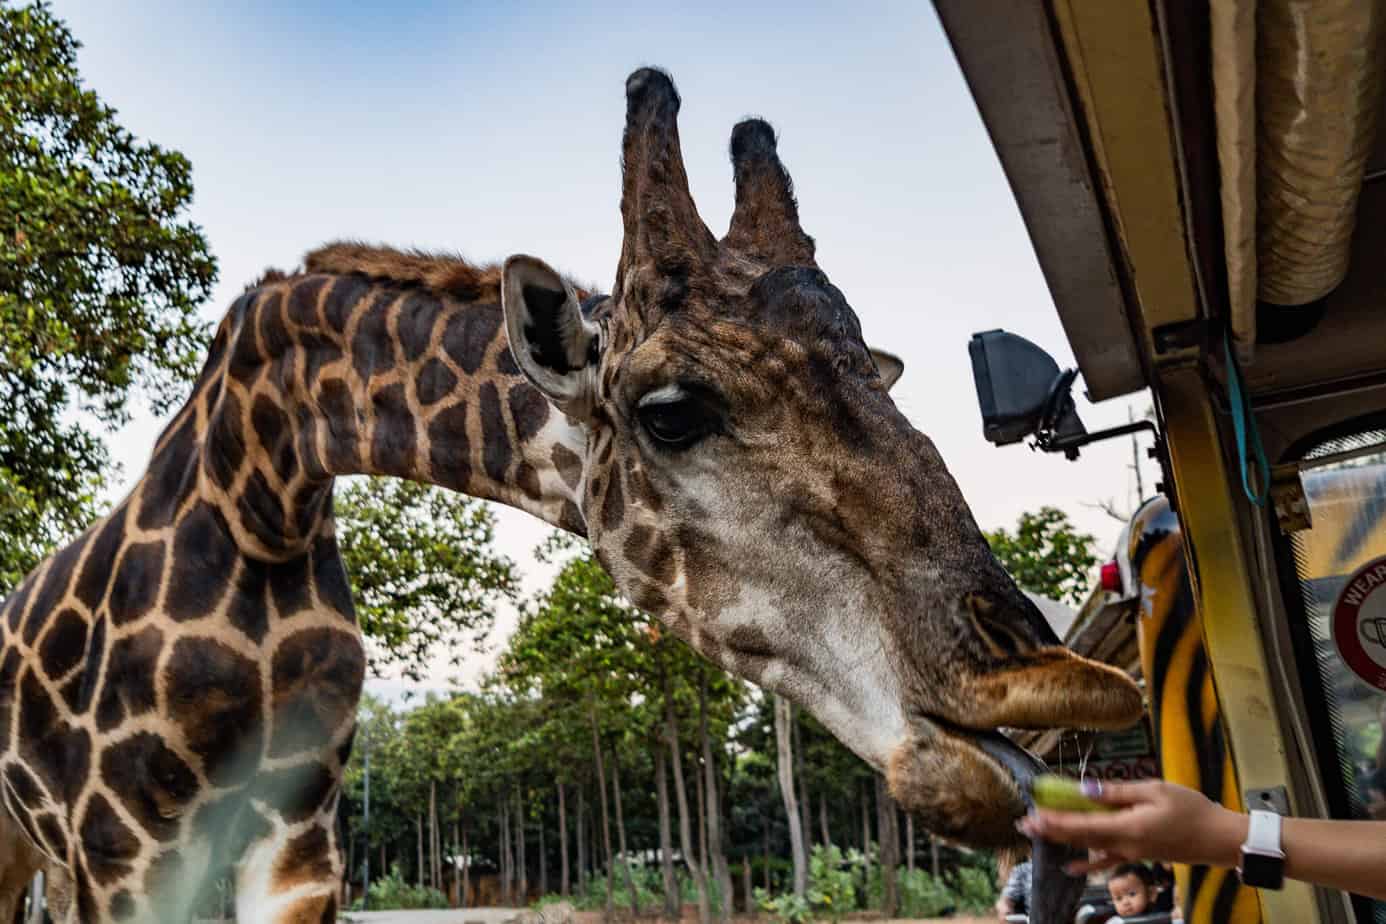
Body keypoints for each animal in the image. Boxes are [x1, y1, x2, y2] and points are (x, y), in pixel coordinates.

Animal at [0, 68, 1143, 922]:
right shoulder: (121, 851)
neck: (260, 497)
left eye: (877, 378)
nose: (1056, 685)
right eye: (671, 411)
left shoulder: (298, 844)